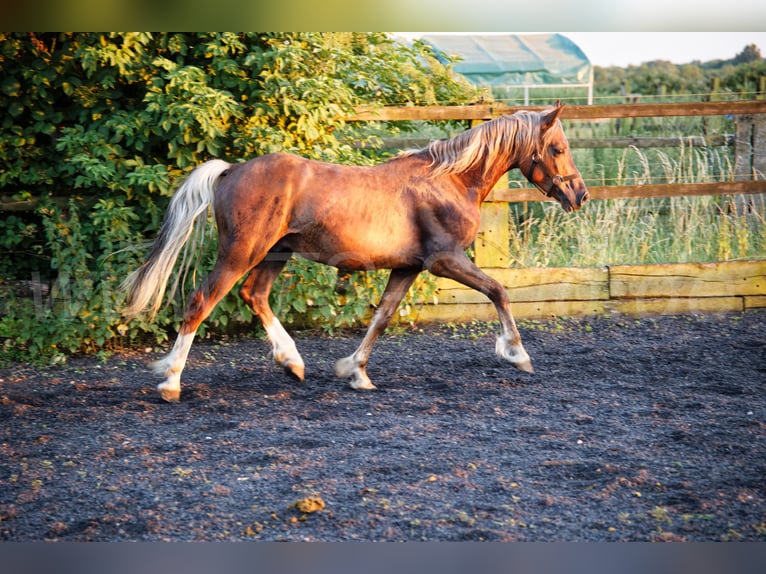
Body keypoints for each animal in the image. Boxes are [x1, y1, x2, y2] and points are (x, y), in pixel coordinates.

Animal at [122, 102, 589, 402]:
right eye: (558, 149)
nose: (580, 195)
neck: (450, 181)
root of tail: (230, 170)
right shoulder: (445, 261)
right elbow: (499, 292)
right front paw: (517, 354)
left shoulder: (407, 268)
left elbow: (381, 317)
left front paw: (355, 372)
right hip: (241, 252)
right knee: (202, 301)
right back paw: (170, 382)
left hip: (276, 254)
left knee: (254, 295)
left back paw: (292, 362)